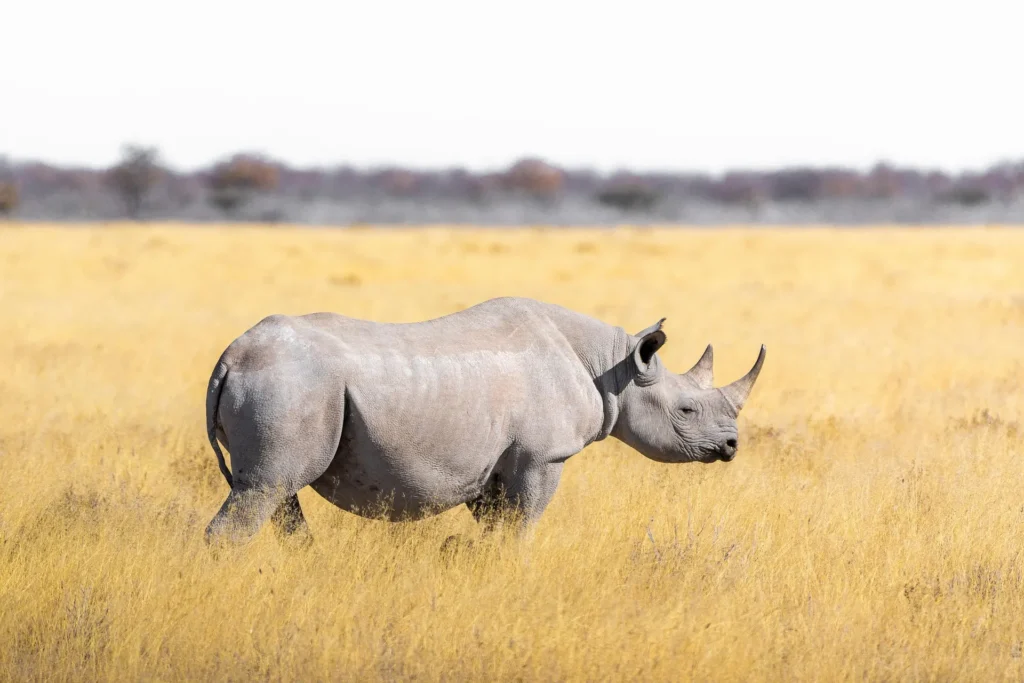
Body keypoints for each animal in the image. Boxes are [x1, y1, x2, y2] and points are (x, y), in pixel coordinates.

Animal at [204, 297, 765, 544]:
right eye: (687, 410)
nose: (732, 446)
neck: (616, 366)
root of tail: (231, 357)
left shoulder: (496, 463)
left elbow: (497, 529)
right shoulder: (542, 457)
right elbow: (522, 528)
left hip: (292, 386)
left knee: (277, 491)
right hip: (291, 383)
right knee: (265, 488)